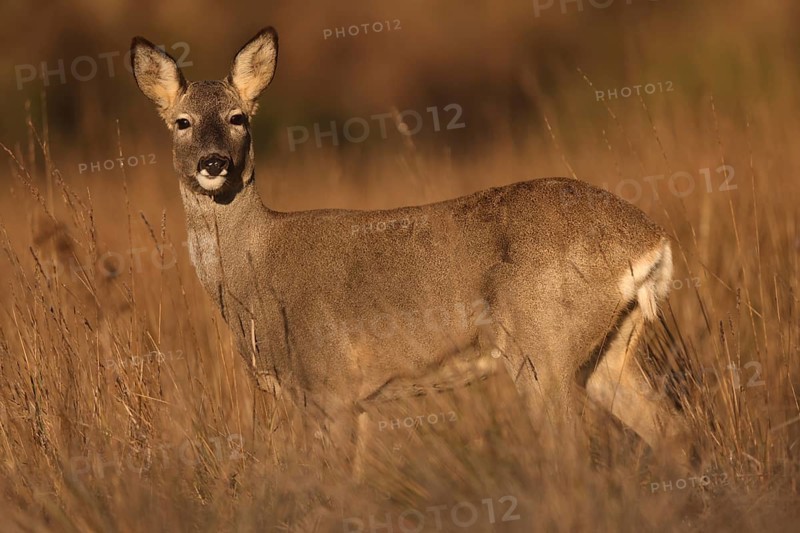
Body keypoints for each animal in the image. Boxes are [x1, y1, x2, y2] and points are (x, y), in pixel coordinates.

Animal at [130, 27, 689, 470]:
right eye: (182, 122)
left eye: (238, 117)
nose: (214, 162)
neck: (256, 274)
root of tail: (650, 241)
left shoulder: (331, 386)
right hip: (610, 348)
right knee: (671, 430)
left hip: (541, 346)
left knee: (573, 451)